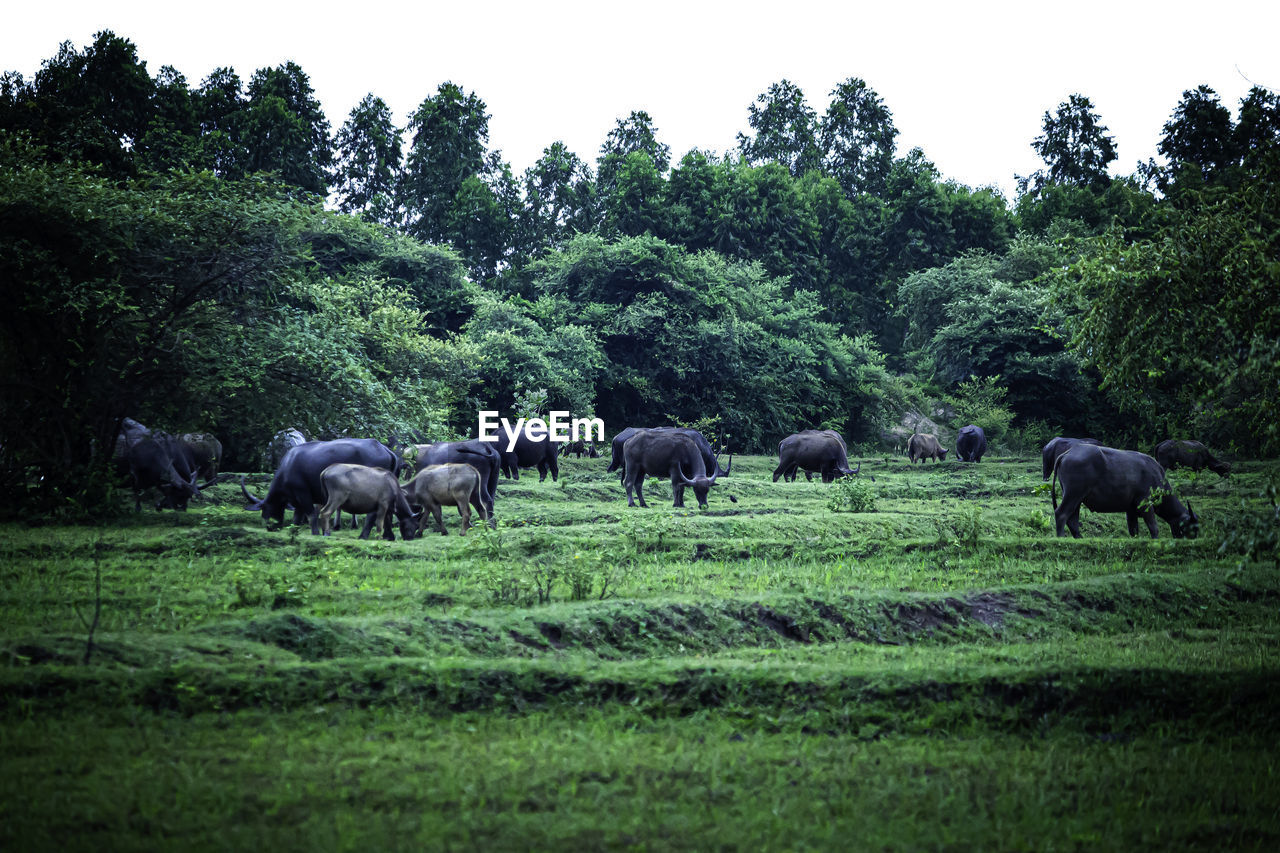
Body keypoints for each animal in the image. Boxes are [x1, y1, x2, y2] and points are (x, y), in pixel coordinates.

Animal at [240, 438, 396, 532]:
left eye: (265, 507)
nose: (269, 526)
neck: (288, 467)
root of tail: (384, 449)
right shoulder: (297, 500)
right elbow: (297, 518)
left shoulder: (303, 493)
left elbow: (311, 515)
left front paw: (316, 532)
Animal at [1049, 438, 1198, 537]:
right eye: (1191, 528)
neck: (1158, 478)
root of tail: (1068, 453)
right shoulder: (1145, 502)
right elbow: (1153, 527)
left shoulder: (1130, 509)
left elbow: (1134, 530)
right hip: (1073, 494)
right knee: (1061, 514)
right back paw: (1061, 537)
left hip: (1077, 498)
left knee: (1073, 520)